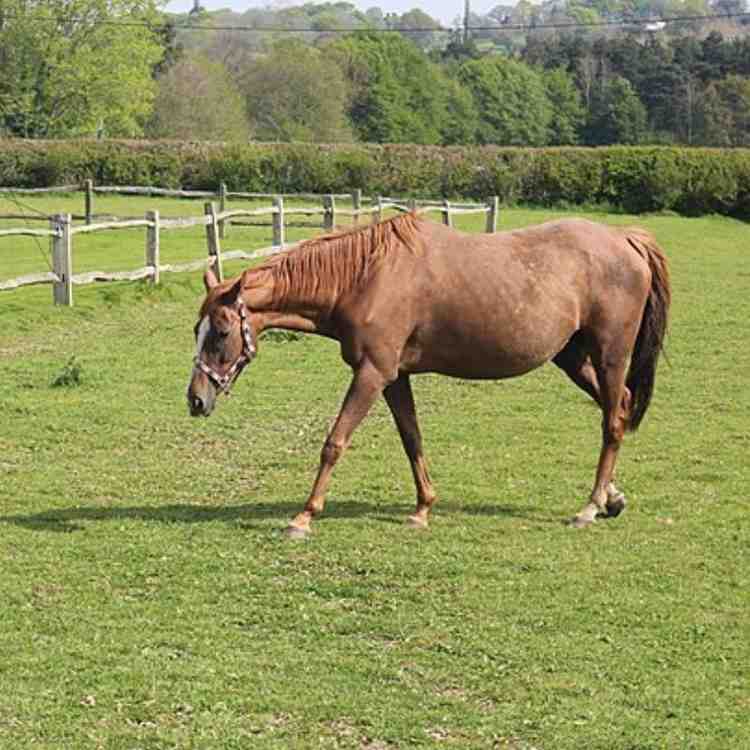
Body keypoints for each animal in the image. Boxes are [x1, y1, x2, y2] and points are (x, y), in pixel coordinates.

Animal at [186, 213, 670, 538]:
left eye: (222, 332)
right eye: (197, 330)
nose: (196, 399)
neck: (364, 277)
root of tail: (625, 239)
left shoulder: (372, 374)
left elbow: (334, 442)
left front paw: (304, 516)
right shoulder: (395, 377)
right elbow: (412, 439)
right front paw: (422, 508)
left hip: (610, 356)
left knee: (611, 424)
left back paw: (589, 506)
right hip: (573, 359)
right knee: (619, 410)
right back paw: (611, 498)